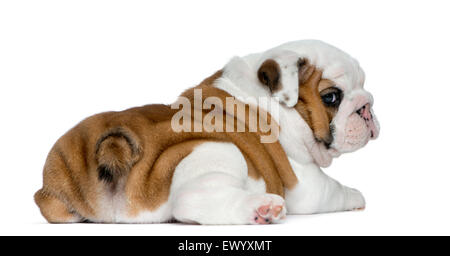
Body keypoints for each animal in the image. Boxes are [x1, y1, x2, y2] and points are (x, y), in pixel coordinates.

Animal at [36, 39, 380, 224]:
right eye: (331, 97)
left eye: (364, 84)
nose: (367, 105)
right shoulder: (304, 180)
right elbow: (332, 189)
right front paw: (356, 195)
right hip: (219, 150)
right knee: (190, 201)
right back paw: (261, 208)